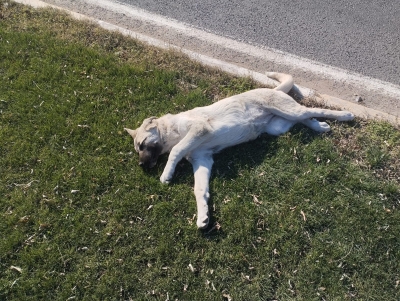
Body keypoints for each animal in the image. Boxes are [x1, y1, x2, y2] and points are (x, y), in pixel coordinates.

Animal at [125, 72, 354, 227]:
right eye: (138, 149)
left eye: (142, 145)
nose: (142, 165)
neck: (172, 131)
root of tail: (273, 89)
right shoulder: (202, 159)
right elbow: (199, 189)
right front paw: (203, 215)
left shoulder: (198, 130)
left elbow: (175, 151)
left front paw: (167, 174)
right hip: (278, 125)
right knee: (305, 117)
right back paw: (318, 126)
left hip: (288, 111)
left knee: (315, 110)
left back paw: (345, 116)